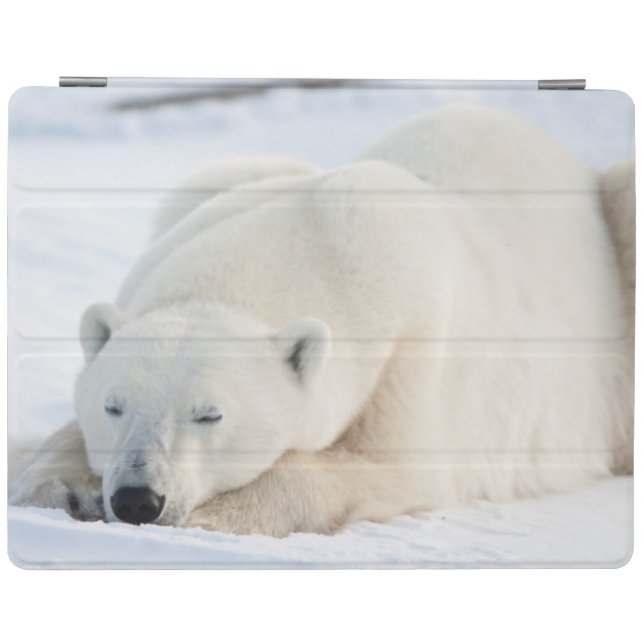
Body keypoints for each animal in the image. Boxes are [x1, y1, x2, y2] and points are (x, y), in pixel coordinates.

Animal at [10, 104, 634, 537]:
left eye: (210, 415)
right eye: (112, 406)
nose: (138, 499)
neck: (322, 229)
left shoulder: (414, 350)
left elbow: (389, 466)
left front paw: (216, 517)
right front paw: (61, 488)